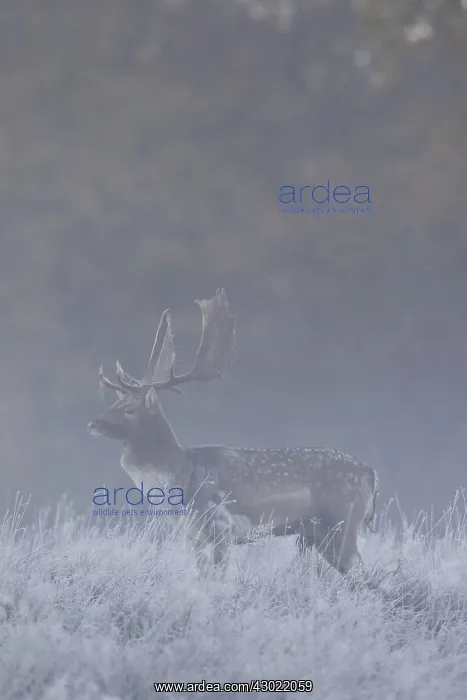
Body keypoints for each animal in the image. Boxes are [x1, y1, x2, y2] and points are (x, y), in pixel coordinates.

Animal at [88, 289, 378, 575]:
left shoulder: (220, 526)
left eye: (130, 410)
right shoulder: (193, 535)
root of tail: (370, 473)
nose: (94, 424)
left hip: (343, 521)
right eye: (114, 403)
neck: (179, 479)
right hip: (316, 533)